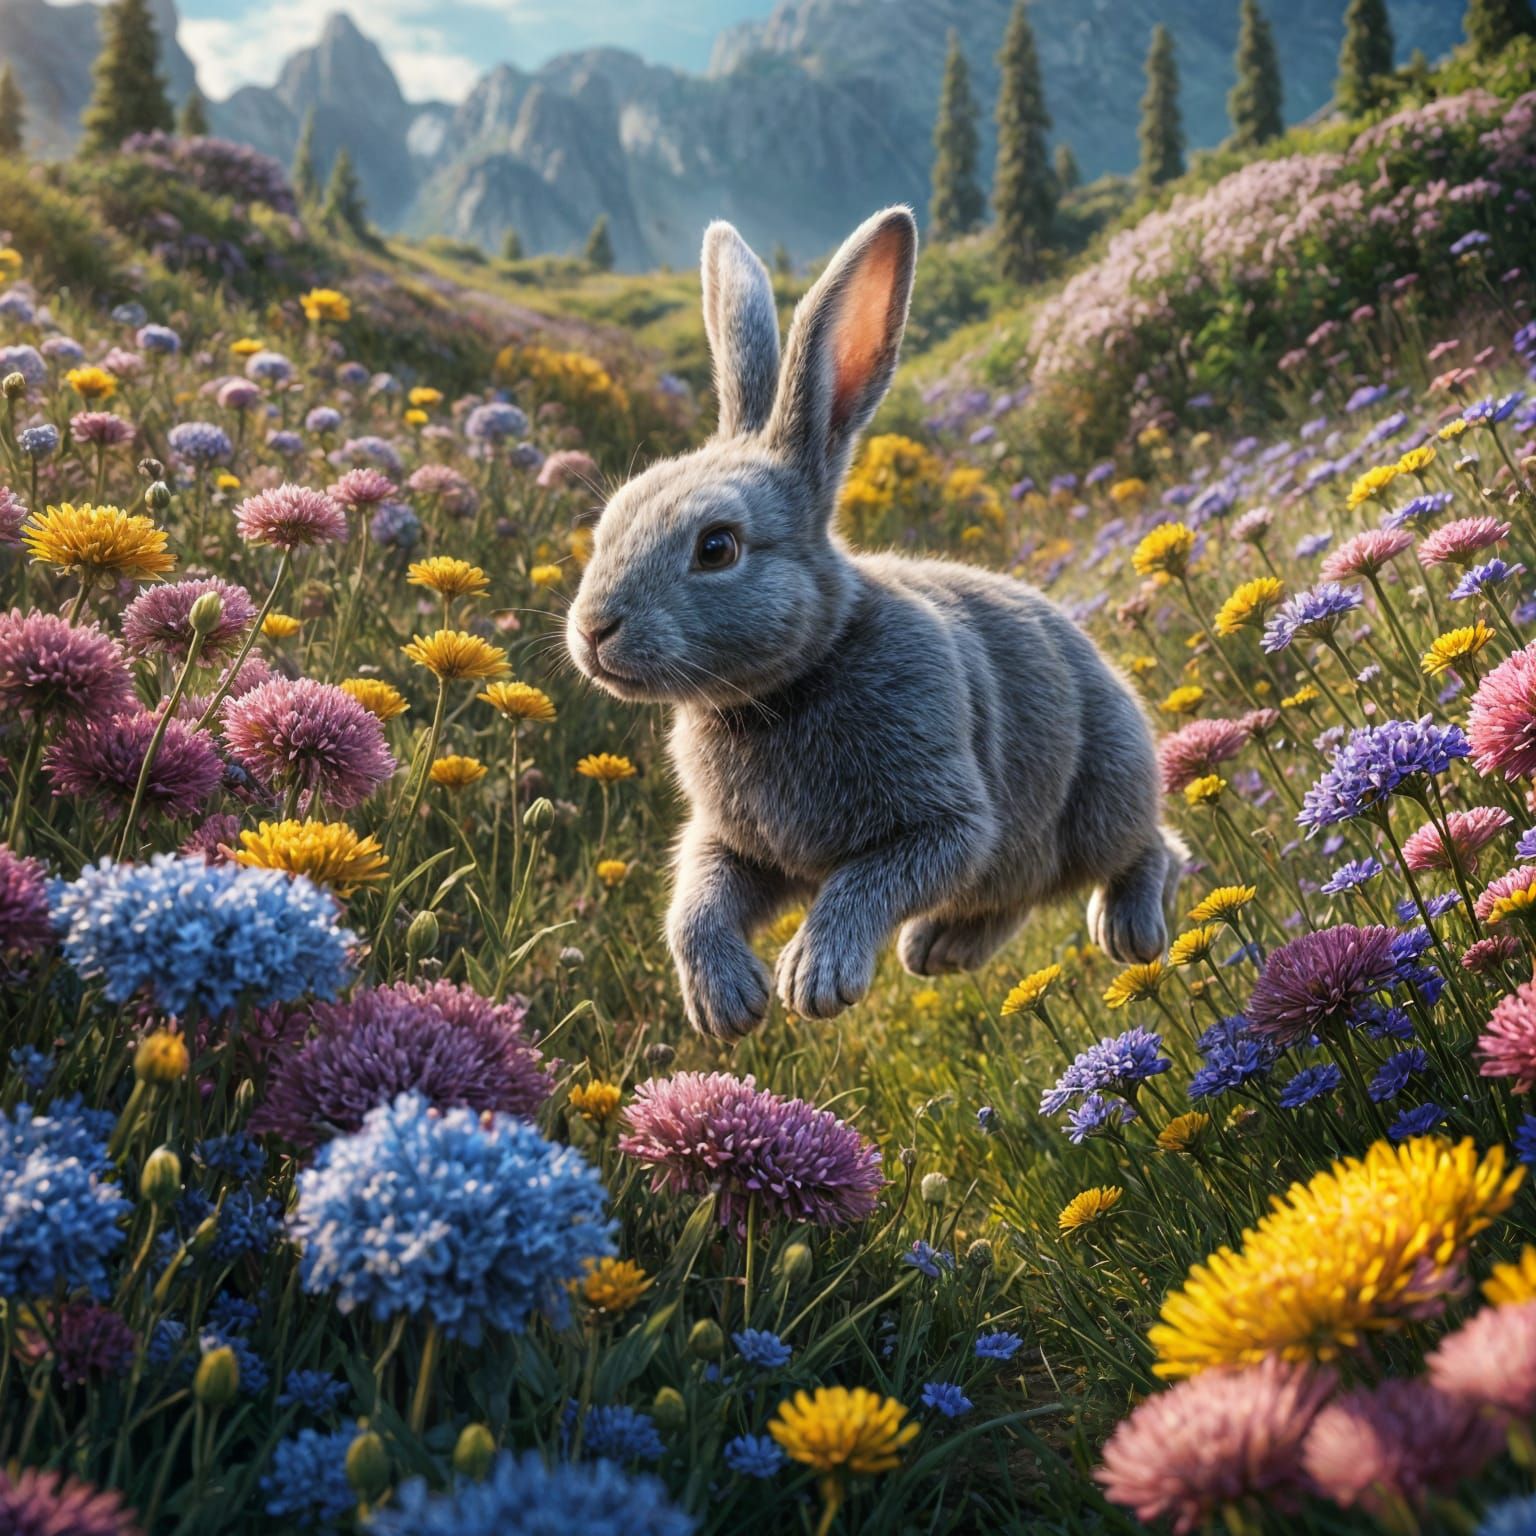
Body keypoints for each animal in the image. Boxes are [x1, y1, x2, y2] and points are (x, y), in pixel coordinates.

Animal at [566, 205, 1184, 1039]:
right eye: (610, 522)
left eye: (717, 546)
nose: (593, 631)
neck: (790, 684)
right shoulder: (731, 843)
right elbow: (694, 903)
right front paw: (725, 1005)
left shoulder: (945, 821)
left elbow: (869, 879)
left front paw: (814, 979)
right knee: (1015, 894)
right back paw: (938, 950)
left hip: (1105, 793)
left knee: (1151, 846)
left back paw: (1129, 929)